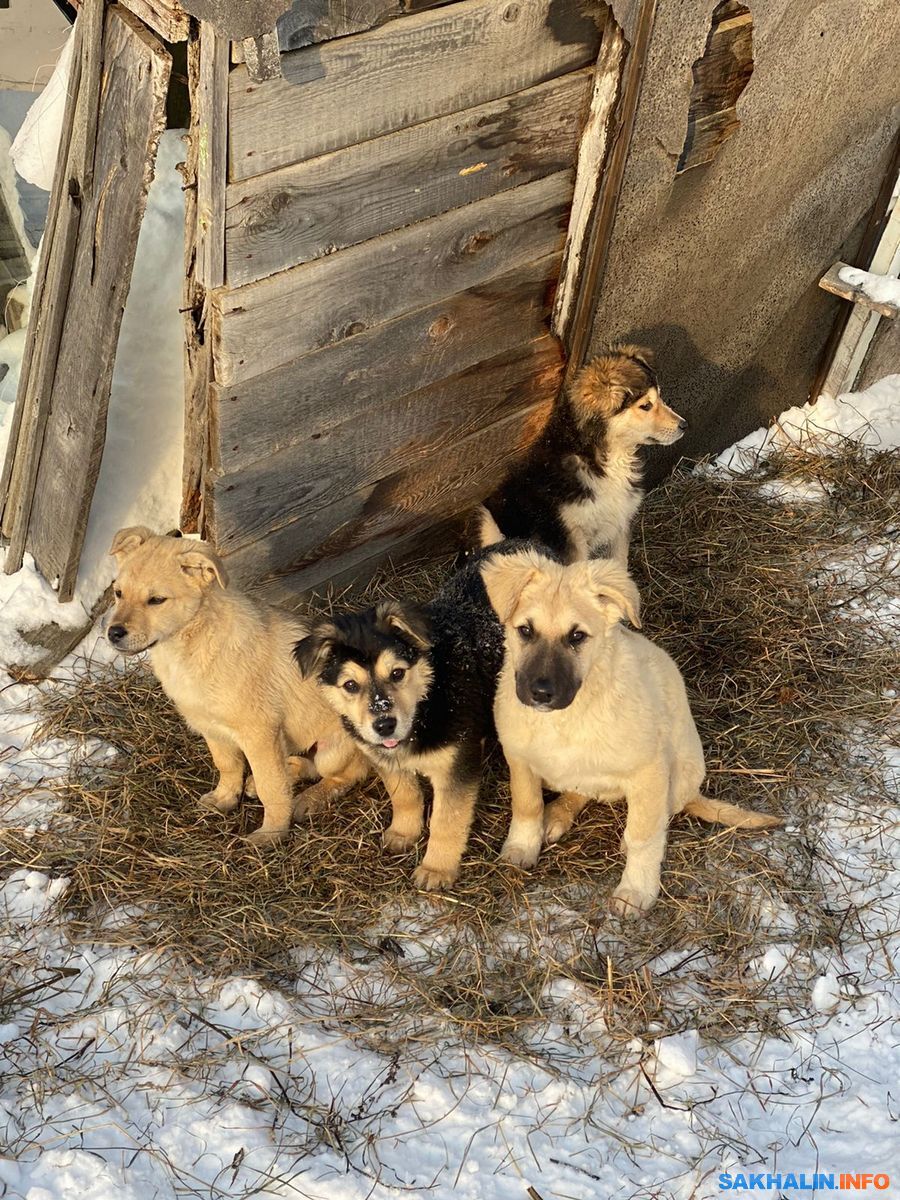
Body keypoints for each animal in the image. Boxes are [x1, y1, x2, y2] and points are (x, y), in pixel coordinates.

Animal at [107, 525, 367, 844]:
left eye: (156, 600)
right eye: (118, 593)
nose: (113, 633)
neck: (191, 644)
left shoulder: (259, 732)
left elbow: (272, 787)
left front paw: (271, 833)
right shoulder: (211, 727)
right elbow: (228, 765)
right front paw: (224, 798)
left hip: (335, 749)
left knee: (344, 774)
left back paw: (309, 799)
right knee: (306, 765)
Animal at [296, 556, 508, 888]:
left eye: (397, 673)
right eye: (350, 685)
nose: (384, 725)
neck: (428, 700)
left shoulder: (455, 767)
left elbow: (446, 820)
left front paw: (436, 869)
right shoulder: (385, 758)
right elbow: (404, 795)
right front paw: (404, 832)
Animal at [480, 549, 782, 912]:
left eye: (577, 636)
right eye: (525, 630)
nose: (540, 693)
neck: (568, 718)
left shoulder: (648, 771)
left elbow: (643, 836)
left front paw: (637, 890)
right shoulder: (519, 758)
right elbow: (527, 805)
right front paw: (523, 846)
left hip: (680, 774)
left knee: (660, 814)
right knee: (581, 790)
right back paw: (556, 816)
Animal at [482, 345, 686, 564]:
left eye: (660, 398)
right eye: (646, 406)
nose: (684, 425)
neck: (606, 460)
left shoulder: (620, 524)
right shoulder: (572, 539)